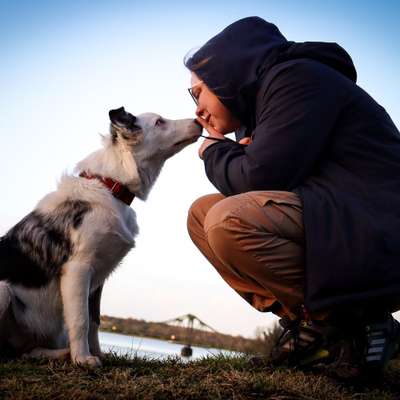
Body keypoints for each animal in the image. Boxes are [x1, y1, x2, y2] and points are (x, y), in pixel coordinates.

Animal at [0, 108, 200, 368]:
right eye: (159, 122)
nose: (198, 121)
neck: (110, 186)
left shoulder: (99, 277)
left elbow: (94, 319)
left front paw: (97, 353)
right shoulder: (79, 268)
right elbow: (80, 320)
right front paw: (83, 359)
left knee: (23, 352)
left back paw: (59, 354)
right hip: (3, 290)